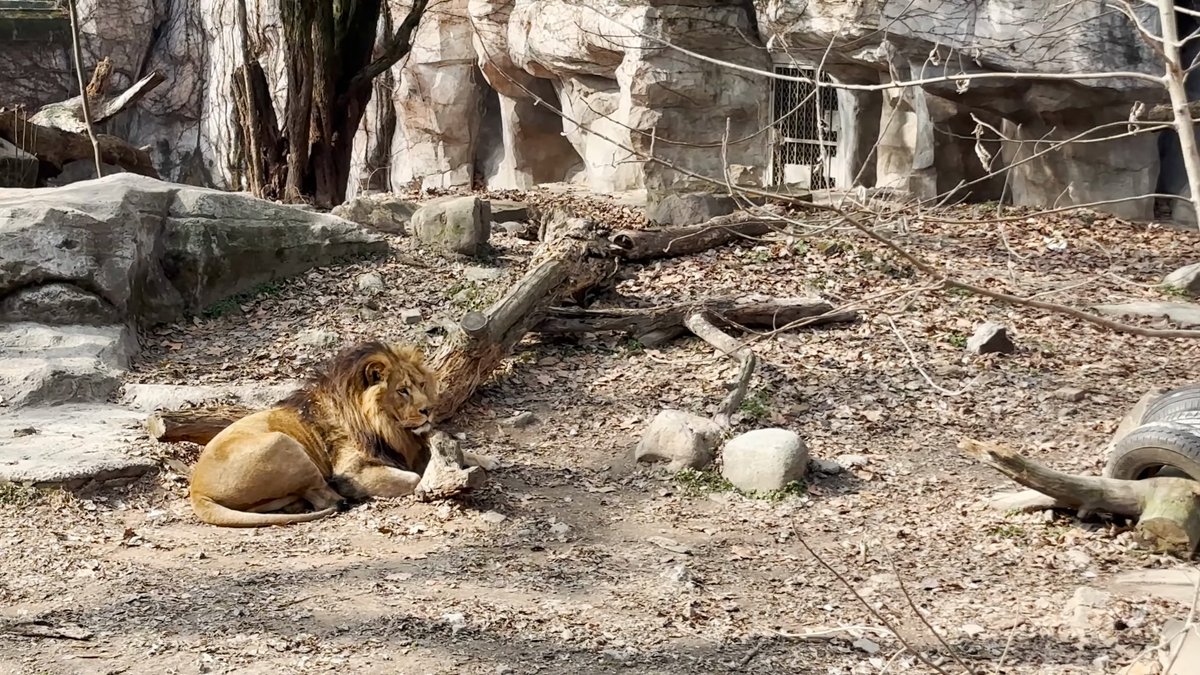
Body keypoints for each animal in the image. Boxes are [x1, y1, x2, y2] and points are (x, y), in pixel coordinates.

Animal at [188, 340, 488, 528]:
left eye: (422, 384)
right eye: (402, 390)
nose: (429, 410)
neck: (388, 426)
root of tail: (196, 490)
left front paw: (486, 460)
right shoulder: (355, 466)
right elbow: (414, 477)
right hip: (285, 444)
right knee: (326, 496)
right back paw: (344, 495)